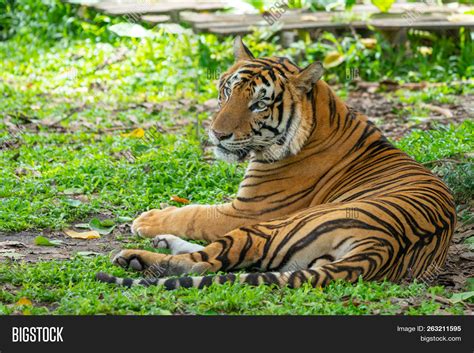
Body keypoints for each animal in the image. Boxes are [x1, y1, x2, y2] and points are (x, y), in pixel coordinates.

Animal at [95, 36, 456, 288]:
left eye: (259, 104)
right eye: (227, 92)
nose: (217, 134)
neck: (322, 116)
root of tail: (381, 245)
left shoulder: (246, 210)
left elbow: (194, 213)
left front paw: (148, 219)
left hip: (267, 228)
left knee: (205, 262)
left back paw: (135, 258)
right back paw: (161, 244)